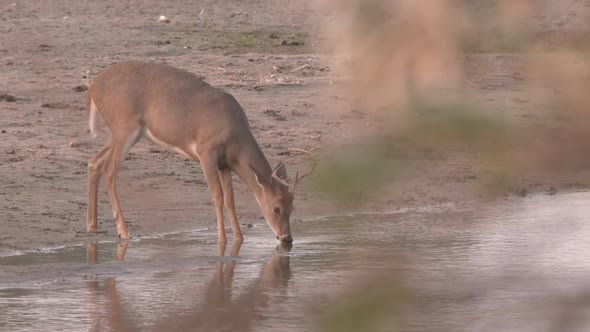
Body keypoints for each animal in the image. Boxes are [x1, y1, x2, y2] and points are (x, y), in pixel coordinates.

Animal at [88, 61, 312, 244]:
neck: (234, 132)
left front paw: (239, 238)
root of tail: (93, 87)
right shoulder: (206, 152)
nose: (287, 238)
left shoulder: (225, 163)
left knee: (94, 161)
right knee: (109, 170)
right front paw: (222, 240)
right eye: (276, 208)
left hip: (124, 132)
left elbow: (230, 200)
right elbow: (217, 196)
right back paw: (123, 232)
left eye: (292, 205)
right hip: (125, 126)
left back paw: (92, 226)